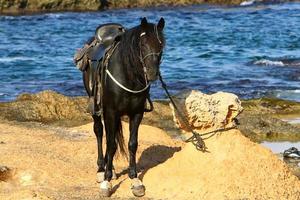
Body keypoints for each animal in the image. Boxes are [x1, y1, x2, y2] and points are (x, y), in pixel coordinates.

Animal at [83, 17, 165, 197]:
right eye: (142, 44)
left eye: (161, 44)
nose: (152, 74)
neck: (128, 75)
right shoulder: (111, 112)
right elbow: (111, 144)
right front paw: (106, 182)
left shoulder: (137, 113)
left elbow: (132, 144)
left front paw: (135, 180)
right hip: (96, 107)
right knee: (99, 132)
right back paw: (101, 169)